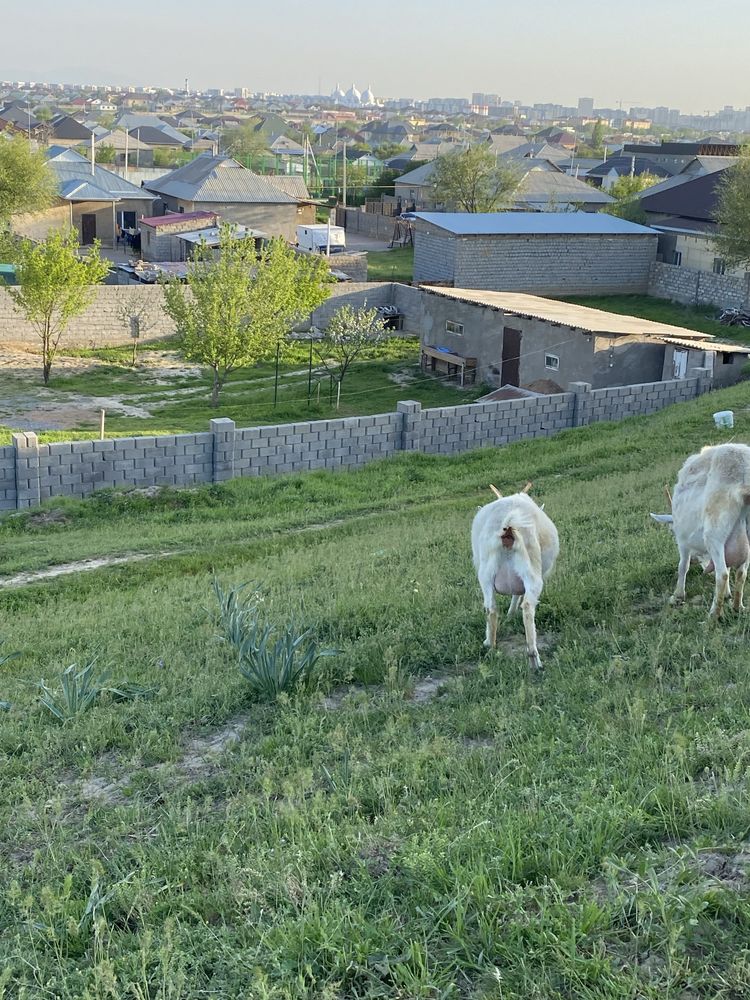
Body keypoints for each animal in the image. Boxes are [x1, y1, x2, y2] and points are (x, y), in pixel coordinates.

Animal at [472, 486, 560, 668]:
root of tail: (508, 524)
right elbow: (517, 595)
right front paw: (511, 614)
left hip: (485, 574)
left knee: (491, 608)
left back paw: (490, 645)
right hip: (531, 569)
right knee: (527, 607)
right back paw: (534, 660)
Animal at [652, 446, 750, 616]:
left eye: (672, 532)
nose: (696, 560)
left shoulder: (682, 541)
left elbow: (683, 566)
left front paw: (677, 595)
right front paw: (728, 594)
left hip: (714, 530)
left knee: (722, 574)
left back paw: (713, 616)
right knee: (741, 572)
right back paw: (738, 607)